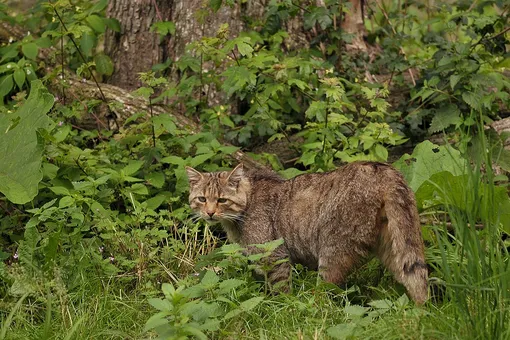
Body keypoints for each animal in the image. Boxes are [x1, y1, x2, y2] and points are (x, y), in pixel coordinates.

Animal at [185, 163, 428, 306]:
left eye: (222, 200)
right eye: (202, 199)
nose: (210, 213)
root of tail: (383, 169)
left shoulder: (274, 255)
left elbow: (281, 290)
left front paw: (284, 307)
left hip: (332, 250)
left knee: (326, 292)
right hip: (394, 245)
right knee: (414, 276)